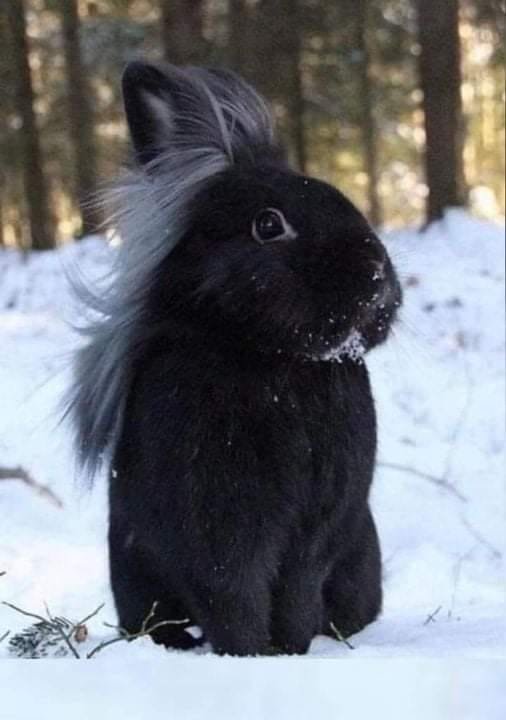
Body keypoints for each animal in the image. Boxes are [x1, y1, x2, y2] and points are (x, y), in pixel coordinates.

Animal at [67, 60, 402, 656]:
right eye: (269, 225)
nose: (376, 277)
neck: (275, 361)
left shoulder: (317, 528)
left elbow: (295, 589)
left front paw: (290, 652)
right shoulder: (216, 521)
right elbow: (232, 592)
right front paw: (248, 655)